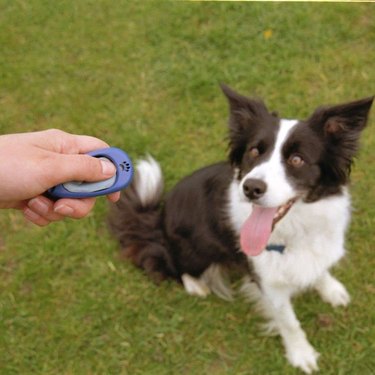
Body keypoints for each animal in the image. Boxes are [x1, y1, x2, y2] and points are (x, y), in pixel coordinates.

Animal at [108, 85, 374, 374]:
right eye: (255, 152)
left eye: (297, 159)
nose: (251, 188)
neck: (296, 228)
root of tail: (160, 218)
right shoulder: (267, 281)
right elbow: (289, 322)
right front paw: (301, 354)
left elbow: (319, 269)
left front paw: (331, 289)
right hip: (194, 250)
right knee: (173, 266)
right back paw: (196, 286)